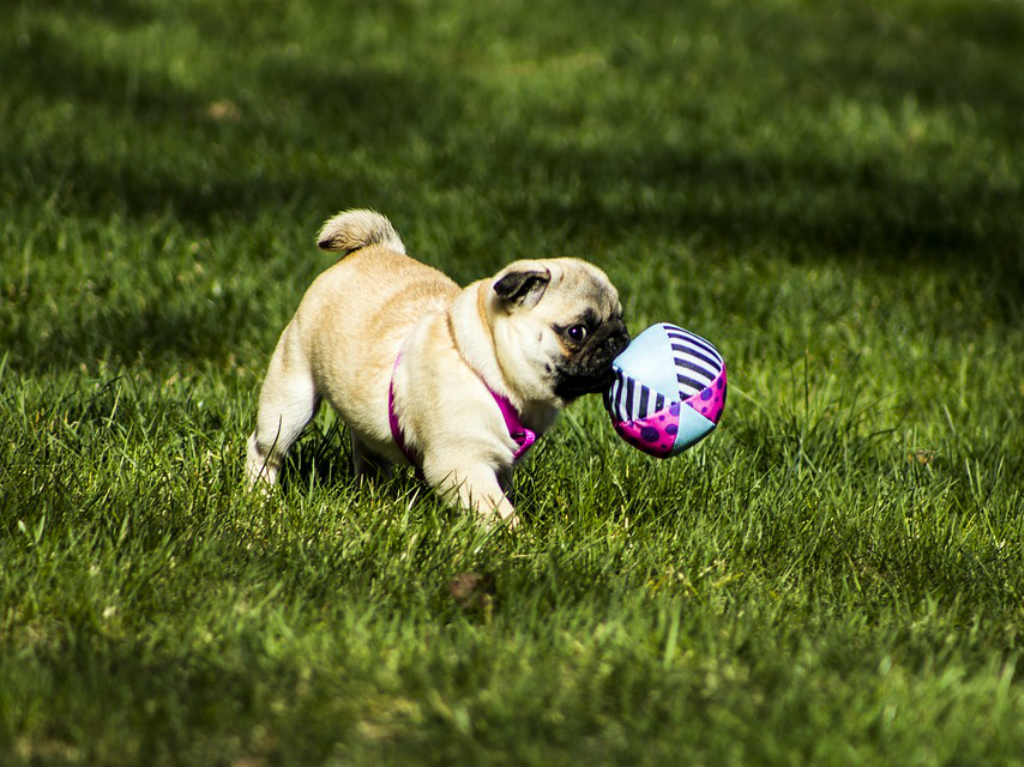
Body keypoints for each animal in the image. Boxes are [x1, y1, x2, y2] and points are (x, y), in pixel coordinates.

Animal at [247, 207, 630, 528]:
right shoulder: (463, 465)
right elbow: (499, 510)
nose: (620, 338)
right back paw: (260, 496)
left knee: (368, 454)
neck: (485, 367)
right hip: (291, 398)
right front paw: (517, 540)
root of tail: (374, 249)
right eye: (577, 332)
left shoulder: (498, 465)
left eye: (620, 318)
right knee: (265, 448)